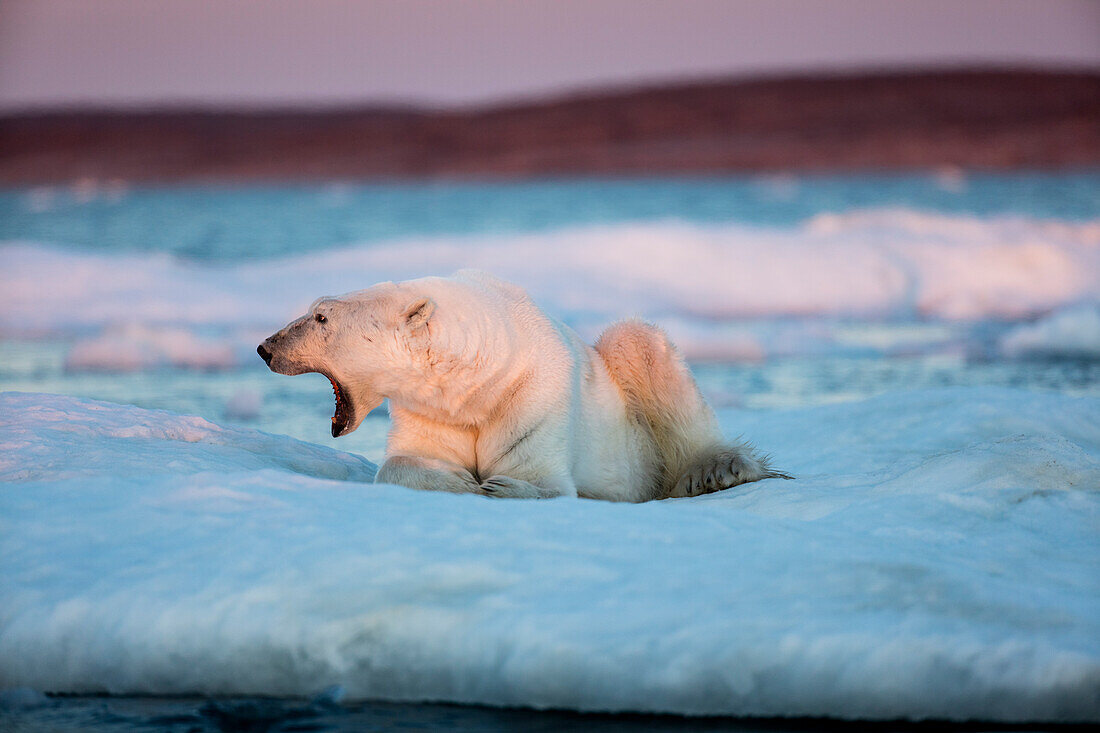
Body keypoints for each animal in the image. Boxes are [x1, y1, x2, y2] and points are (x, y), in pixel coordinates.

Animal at [257, 270, 792, 499]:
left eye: (320, 316)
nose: (265, 347)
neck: (478, 378)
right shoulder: (432, 410)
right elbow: (407, 461)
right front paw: (456, 479)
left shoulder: (532, 396)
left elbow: (543, 481)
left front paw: (499, 483)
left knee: (639, 344)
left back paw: (717, 470)